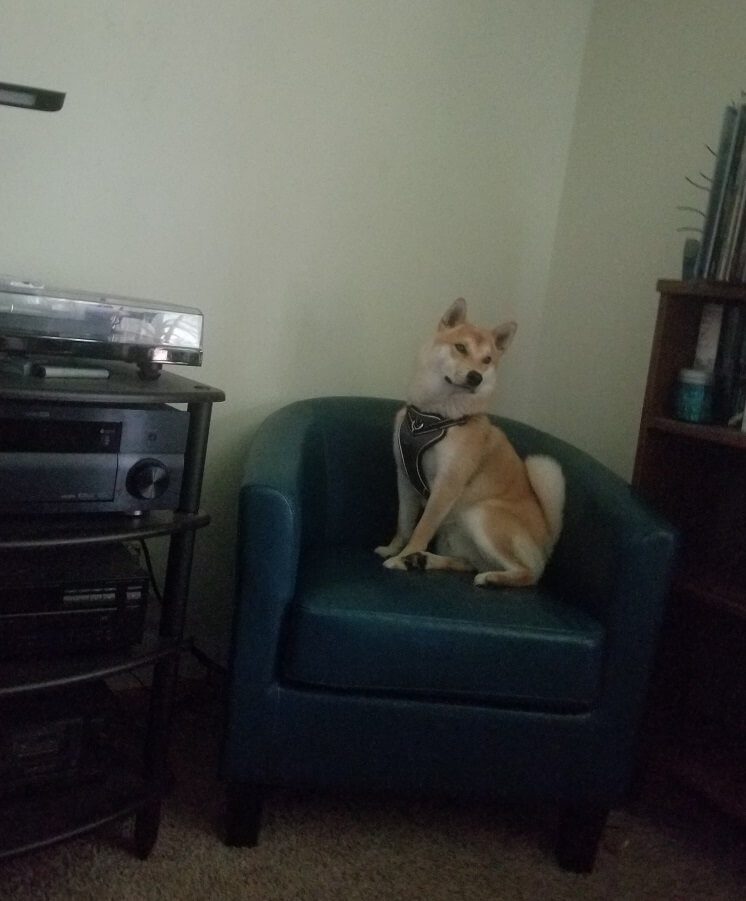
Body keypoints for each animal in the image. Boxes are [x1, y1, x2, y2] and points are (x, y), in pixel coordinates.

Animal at [374, 298, 560, 588]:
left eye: (487, 360)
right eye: (460, 347)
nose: (476, 377)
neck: (434, 416)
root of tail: (547, 543)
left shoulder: (447, 483)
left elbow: (422, 528)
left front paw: (402, 556)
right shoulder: (404, 476)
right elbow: (404, 523)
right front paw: (394, 550)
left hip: (480, 515)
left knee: (528, 574)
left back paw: (492, 578)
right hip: (453, 536)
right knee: (467, 563)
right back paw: (426, 561)